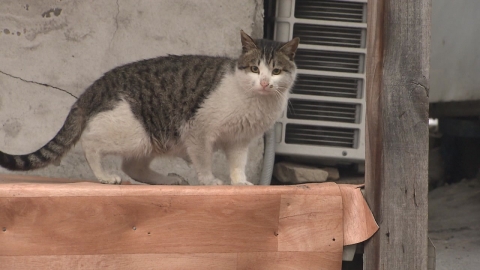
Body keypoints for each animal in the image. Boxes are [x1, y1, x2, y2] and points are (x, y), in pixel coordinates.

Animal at [0, 30, 298, 185]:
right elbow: (204, 159)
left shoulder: (239, 140)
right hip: (133, 131)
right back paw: (105, 176)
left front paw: (240, 183)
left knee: (134, 166)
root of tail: (96, 86)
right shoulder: (199, 130)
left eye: (276, 71)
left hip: (148, 141)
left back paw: (167, 180)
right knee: (90, 143)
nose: (264, 82)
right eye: (255, 68)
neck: (256, 102)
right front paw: (209, 180)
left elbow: (238, 164)